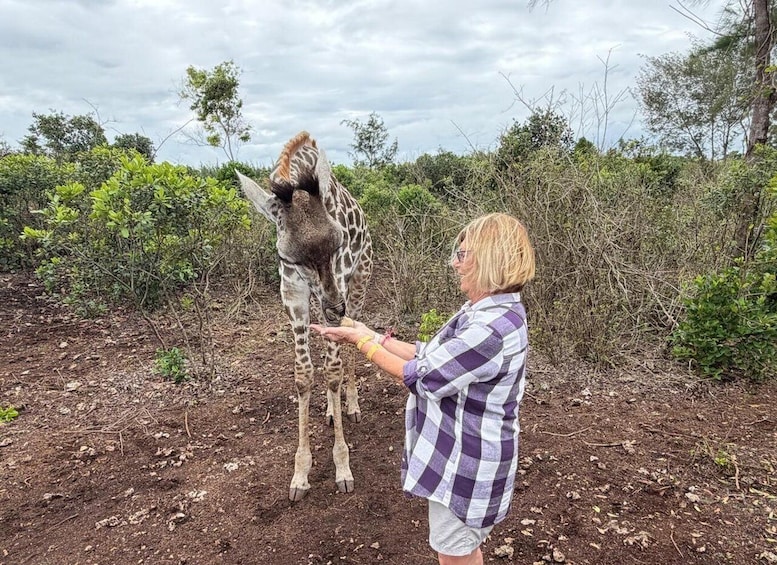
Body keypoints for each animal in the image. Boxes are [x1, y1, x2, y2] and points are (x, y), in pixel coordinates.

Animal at [237, 132, 372, 501]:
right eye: (289, 258)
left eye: (339, 243)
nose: (335, 308)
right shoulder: (294, 295)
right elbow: (303, 374)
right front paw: (300, 473)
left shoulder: (339, 282)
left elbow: (334, 370)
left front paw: (342, 467)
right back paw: (330, 410)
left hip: (359, 282)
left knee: (348, 349)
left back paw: (350, 407)